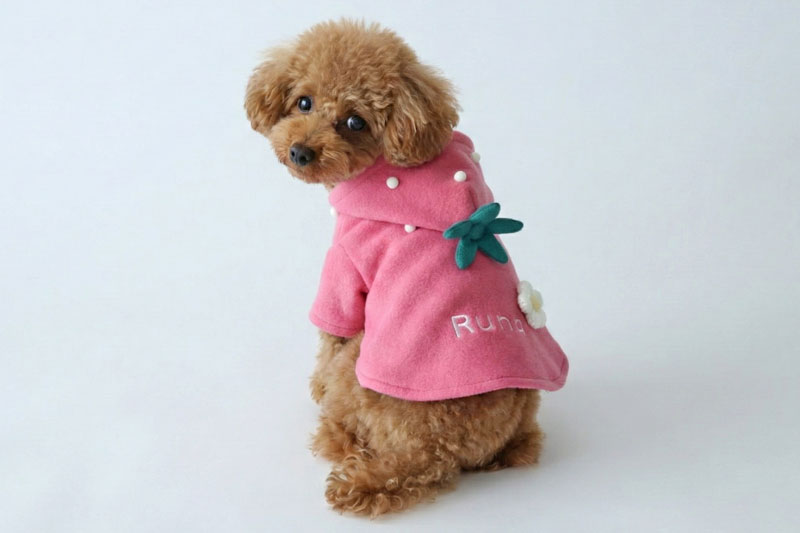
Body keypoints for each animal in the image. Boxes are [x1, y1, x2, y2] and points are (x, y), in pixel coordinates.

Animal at [245, 19, 568, 516]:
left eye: (355, 122)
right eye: (303, 102)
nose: (300, 152)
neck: (393, 164)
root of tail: (433, 451)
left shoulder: (346, 266)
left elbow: (331, 333)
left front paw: (315, 386)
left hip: (360, 372)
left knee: (349, 425)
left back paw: (334, 435)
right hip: (523, 413)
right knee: (525, 445)